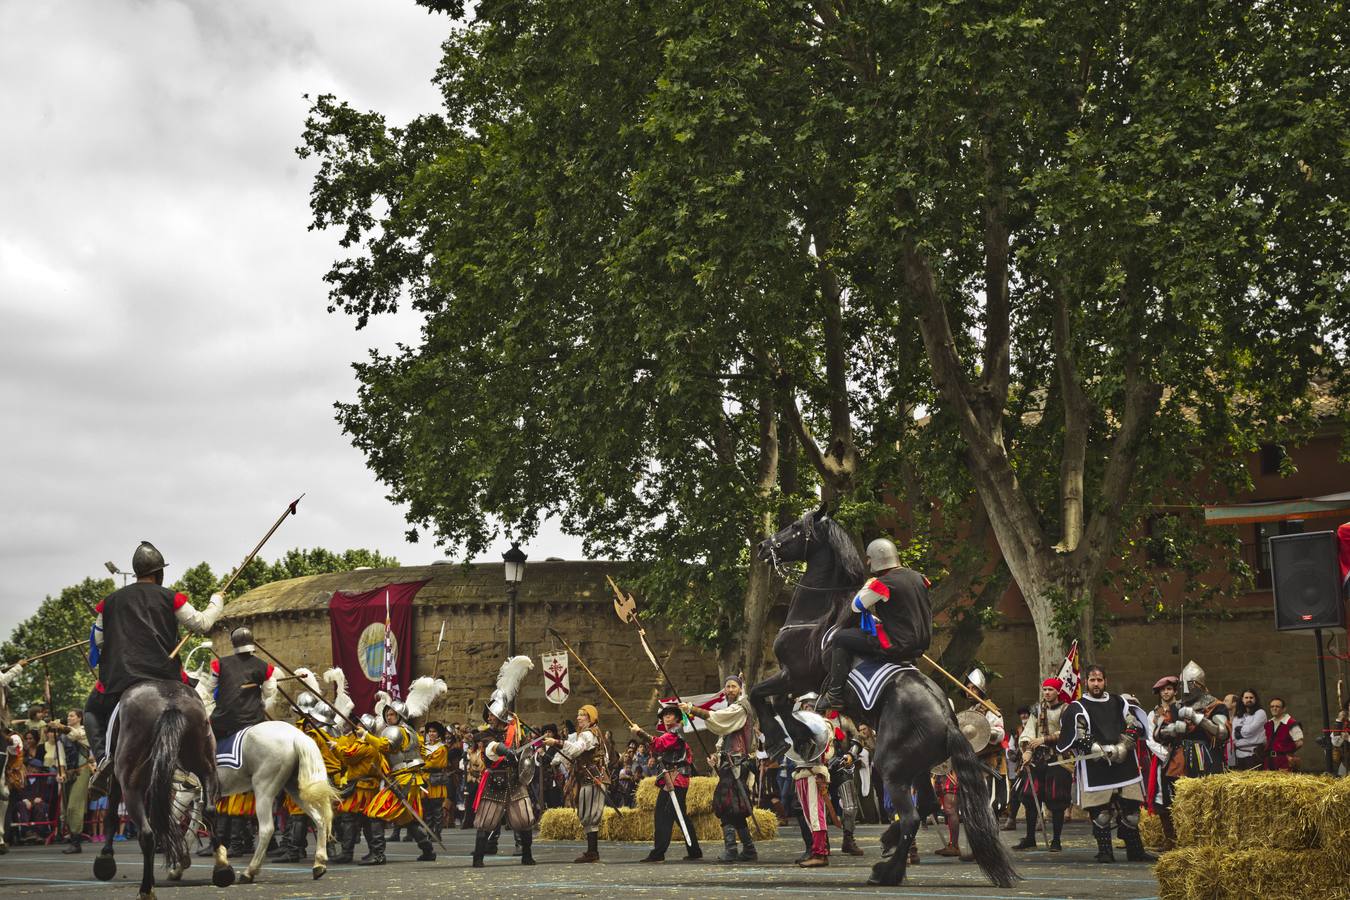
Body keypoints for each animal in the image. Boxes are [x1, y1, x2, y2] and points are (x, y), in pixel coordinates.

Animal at [92, 680, 220, 895]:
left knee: (146, 833)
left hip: (130, 784)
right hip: (202, 760)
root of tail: (169, 702)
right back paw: (222, 866)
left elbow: (111, 814)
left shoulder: (119, 779)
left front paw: (105, 858)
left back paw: (146, 888)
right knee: (209, 806)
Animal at [745, 504, 1015, 890]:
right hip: (917, 768)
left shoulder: (794, 674)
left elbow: (759, 694)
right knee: (926, 805)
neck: (819, 615)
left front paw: (782, 739)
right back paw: (888, 848)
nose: (764, 546)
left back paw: (887, 870)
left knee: (912, 816)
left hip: (892, 768)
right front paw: (801, 737)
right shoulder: (795, 680)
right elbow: (781, 704)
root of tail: (949, 722)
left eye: (795, 527)